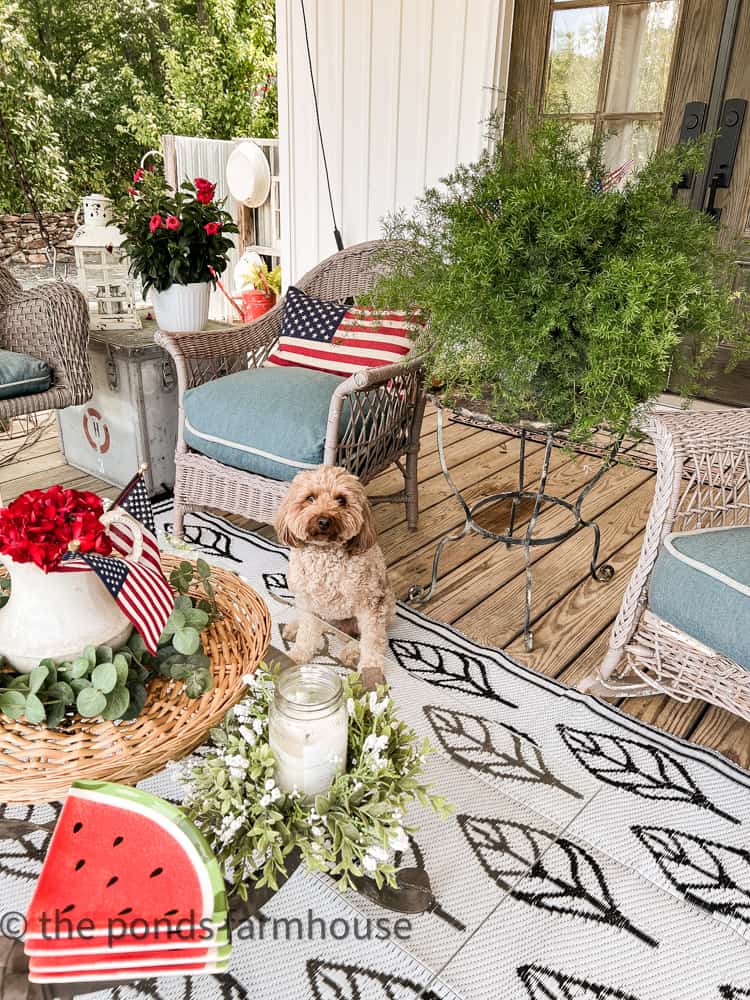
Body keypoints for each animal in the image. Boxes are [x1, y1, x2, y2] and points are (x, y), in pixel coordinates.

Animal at [274, 466, 394, 688]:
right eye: (310, 498)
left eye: (341, 500)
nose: (323, 520)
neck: (325, 555)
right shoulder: (308, 602)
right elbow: (307, 633)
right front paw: (298, 656)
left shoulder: (371, 605)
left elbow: (372, 642)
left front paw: (370, 673)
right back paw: (294, 627)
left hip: (384, 606)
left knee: (370, 638)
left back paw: (351, 652)